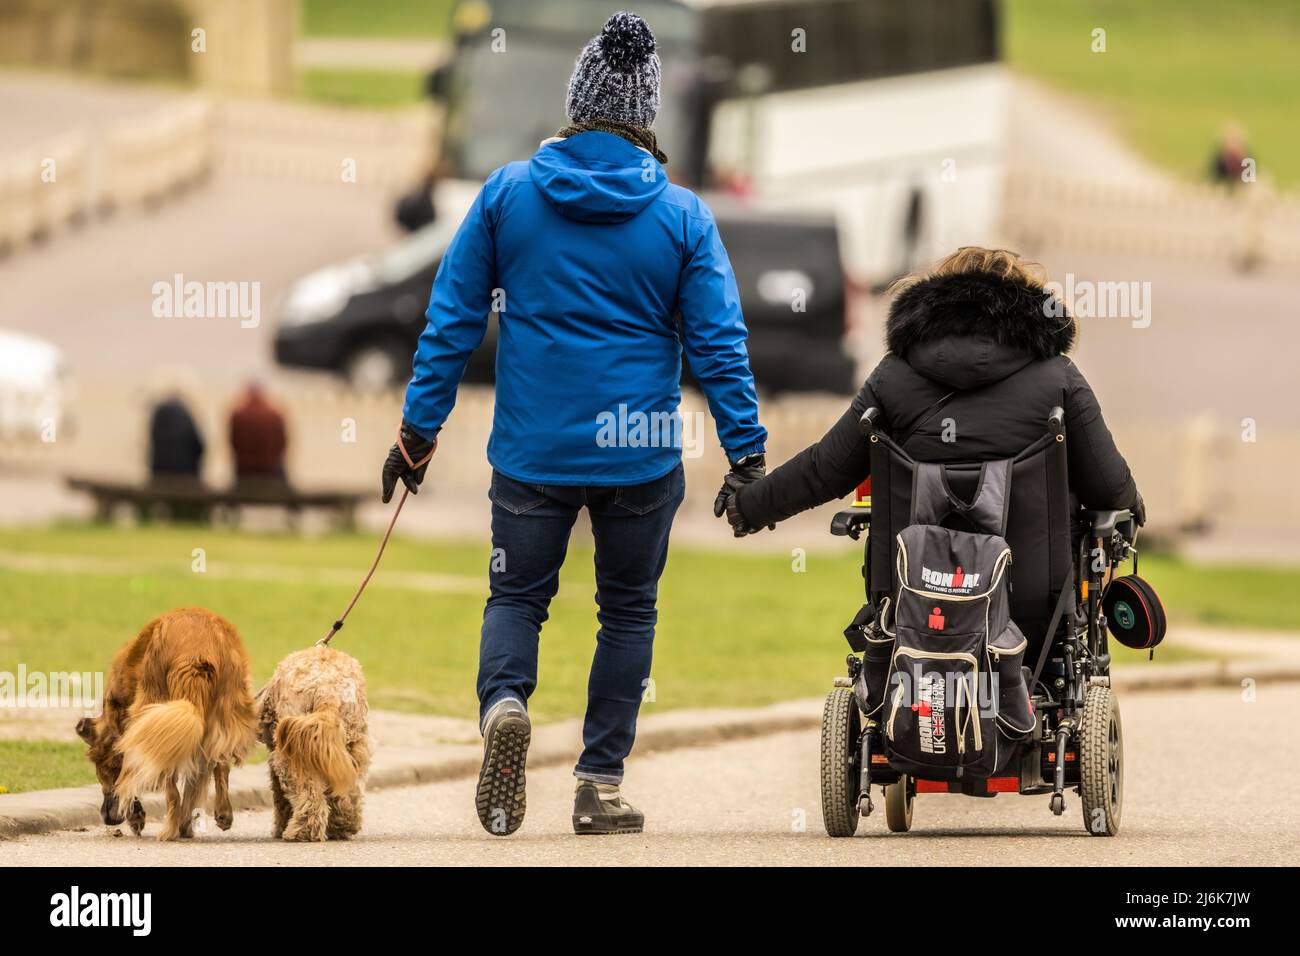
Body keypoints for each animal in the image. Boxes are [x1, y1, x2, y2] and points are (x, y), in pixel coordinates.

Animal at [76, 608, 261, 842]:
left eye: (101, 769)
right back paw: (216, 815)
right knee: (220, 765)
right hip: (223, 713)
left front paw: (135, 815)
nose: (107, 819)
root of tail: (197, 651)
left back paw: (170, 830)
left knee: (171, 786)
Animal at [257, 647, 371, 842]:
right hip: (353, 745)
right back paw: (343, 825)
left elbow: (280, 798)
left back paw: (302, 831)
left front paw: (279, 827)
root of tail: (326, 689)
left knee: (310, 795)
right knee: (349, 793)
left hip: (293, 755)